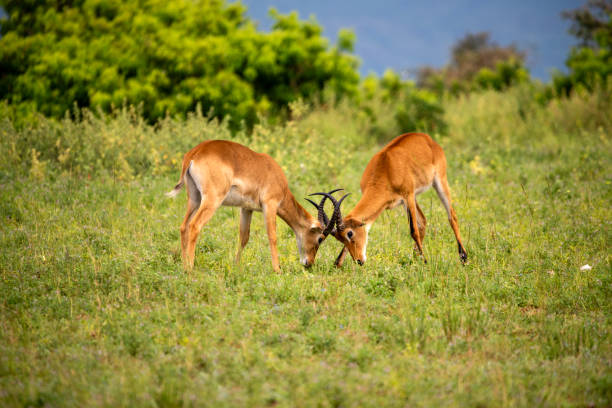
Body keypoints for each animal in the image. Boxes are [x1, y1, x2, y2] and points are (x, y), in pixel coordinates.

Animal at [165, 139, 344, 270]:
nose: (309, 263)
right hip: (212, 200)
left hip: (194, 199)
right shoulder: (270, 205)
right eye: (320, 238)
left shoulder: (246, 209)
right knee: (194, 226)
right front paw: (277, 270)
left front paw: (236, 267)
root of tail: (196, 152)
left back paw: (183, 266)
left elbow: (244, 237)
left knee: (183, 226)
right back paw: (190, 268)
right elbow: (273, 236)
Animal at [322, 132, 466, 266]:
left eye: (350, 233)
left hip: (439, 182)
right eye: (339, 238)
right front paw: (337, 263)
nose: (359, 261)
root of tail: (426, 137)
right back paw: (415, 258)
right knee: (423, 221)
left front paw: (425, 262)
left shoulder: (408, 195)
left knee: (452, 216)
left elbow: (413, 230)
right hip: (413, 198)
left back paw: (463, 258)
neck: (386, 169)